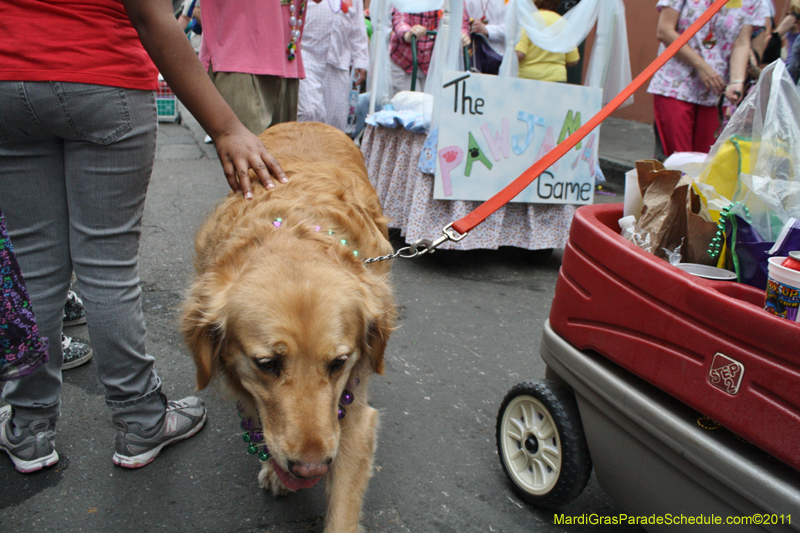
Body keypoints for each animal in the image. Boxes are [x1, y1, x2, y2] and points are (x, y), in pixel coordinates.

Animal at [180, 121, 394, 532]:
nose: (311, 468)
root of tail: (308, 120)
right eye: (267, 364)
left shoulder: (354, 414)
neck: (293, 231)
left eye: (339, 363)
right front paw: (274, 470)